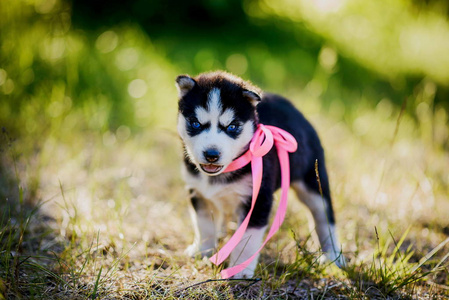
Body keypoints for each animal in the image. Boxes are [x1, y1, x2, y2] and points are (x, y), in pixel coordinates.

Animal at [175, 71, 344, 278]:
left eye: (232, 127)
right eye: (195, 123)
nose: (212, 154)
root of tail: (291, 106)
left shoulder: (258, 200)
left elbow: (247, 241)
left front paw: (240, 269)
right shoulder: (199, 194)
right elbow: (204, 226)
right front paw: (202, 251)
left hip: (313, 184)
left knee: (324, 217)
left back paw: (332, 256)